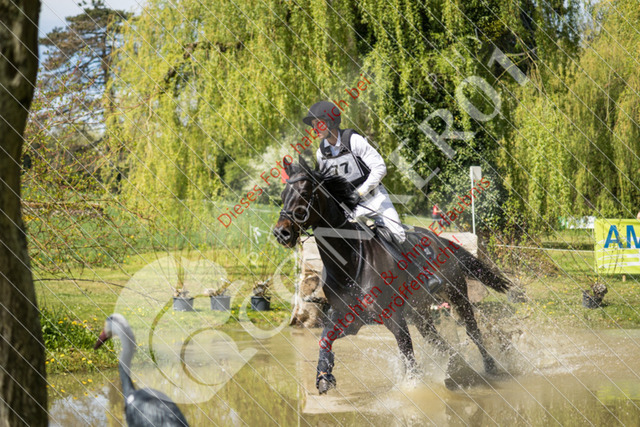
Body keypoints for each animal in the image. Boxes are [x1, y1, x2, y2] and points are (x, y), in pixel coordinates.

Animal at [273, 158, 510, 394]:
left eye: (304, 193)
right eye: (283, 195)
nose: (281, 233)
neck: (351, 261)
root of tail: (440, 240)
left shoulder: (394, 319)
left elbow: (409, 358)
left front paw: (414, 389)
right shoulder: (350, 320)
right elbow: (324, 339)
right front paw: (323, 376)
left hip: (457, 295)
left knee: (473, 331)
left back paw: (490, 367)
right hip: (420, 313)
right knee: (440, 343)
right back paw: (456, 365)